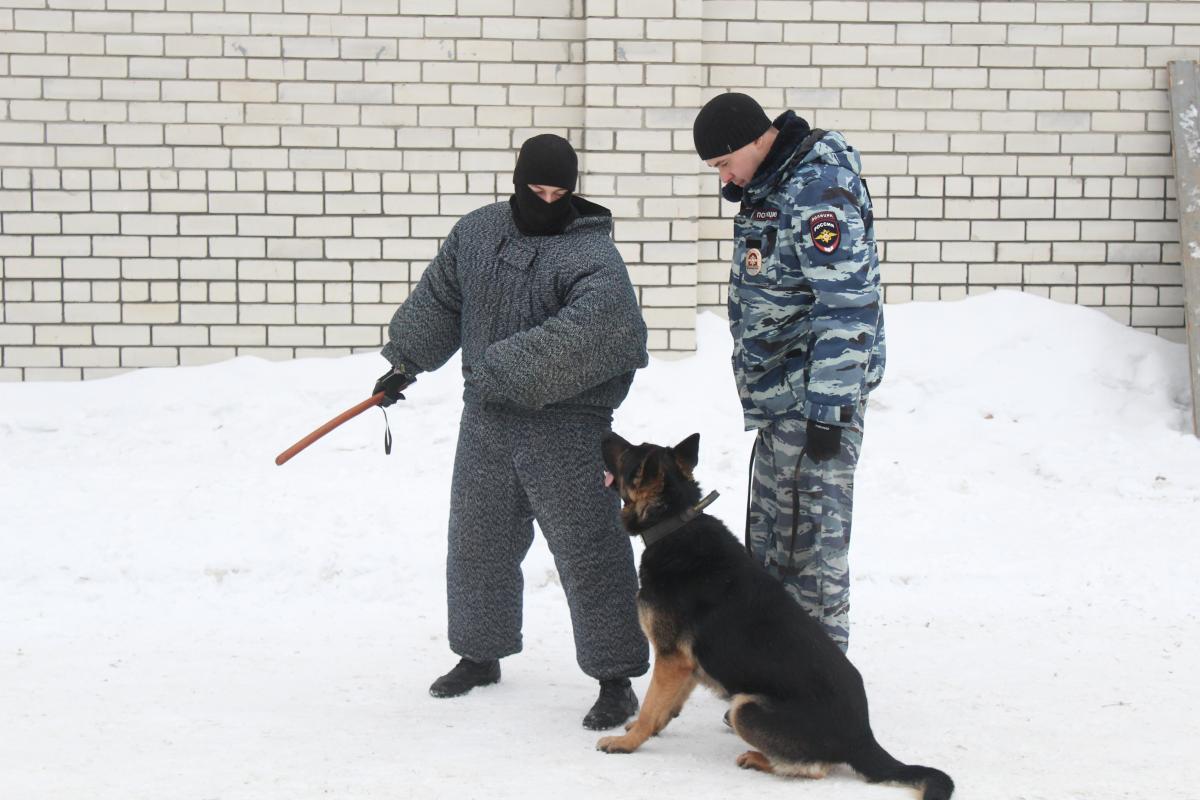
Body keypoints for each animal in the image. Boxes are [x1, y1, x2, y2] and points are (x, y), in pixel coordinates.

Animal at [595, 434, 950, 796]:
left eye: (627, 453)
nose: (604, 435)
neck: (674, 522)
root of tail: (863, 738)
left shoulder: (671, 659)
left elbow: (652, 705)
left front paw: (628, 742)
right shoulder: (686, 665)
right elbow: (665, 707)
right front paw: (643, 729)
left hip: (746, 707)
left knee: (816, 768)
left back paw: (758, 758)